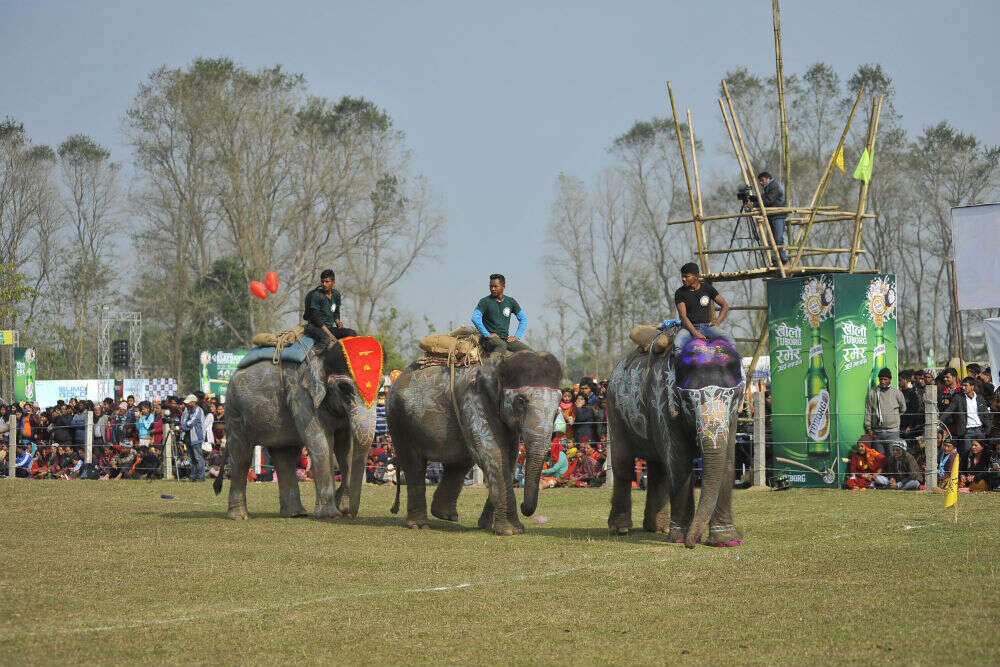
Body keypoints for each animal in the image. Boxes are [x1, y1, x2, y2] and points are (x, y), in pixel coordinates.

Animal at [213, 342, 376, 520]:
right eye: (345, 388)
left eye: (381, 386)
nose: (351, 515)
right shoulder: (302, 397)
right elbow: (321, 442)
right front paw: (331, 515)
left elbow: (345, 446)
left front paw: (342, 508)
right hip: (235, 410)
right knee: (242, 456)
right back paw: (240, 517)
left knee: (285, 456)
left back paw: (295, 514)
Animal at [386, 352, 564, 536]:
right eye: (521, 401)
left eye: (559, 404)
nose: (524, 507)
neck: (501, 364)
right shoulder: (474, 400)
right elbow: (494, 453)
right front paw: (511, 531)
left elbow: (509, 457)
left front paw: (490, 527)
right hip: (399, 419)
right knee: (414, 464)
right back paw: (420, 525)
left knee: (460, 462)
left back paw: (445, 515)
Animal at [600, 336, 744, 552]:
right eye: (687, 401)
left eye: (734, 397)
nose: (693, 544)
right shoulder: (662, 400)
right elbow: (679, 460)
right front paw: (679, 539)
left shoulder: (733, 417)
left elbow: (727, 461)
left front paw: (726, 541)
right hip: (614, 409)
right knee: (623, 463)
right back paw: (621, 529)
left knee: (658, 468)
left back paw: (657, 528)